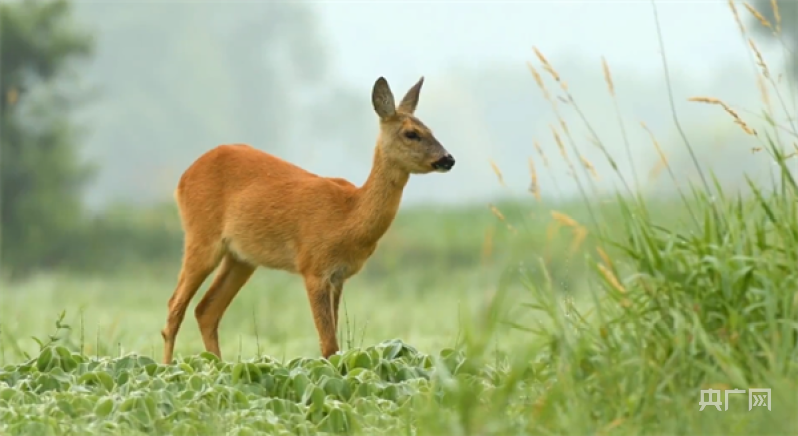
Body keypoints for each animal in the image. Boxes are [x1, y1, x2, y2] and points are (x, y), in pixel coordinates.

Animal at [161, 76, 456, 364]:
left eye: (430, 129)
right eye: (411, 133)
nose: (448, 159)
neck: (349, 215)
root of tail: (183, 179)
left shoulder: (339, 276)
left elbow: (335, 344)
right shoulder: (313, 267)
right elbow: (328, 346)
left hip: (241, 257)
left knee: (206, 310)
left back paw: (217, 367)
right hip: (201, 236)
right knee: (175, 307)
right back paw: (167, 368)